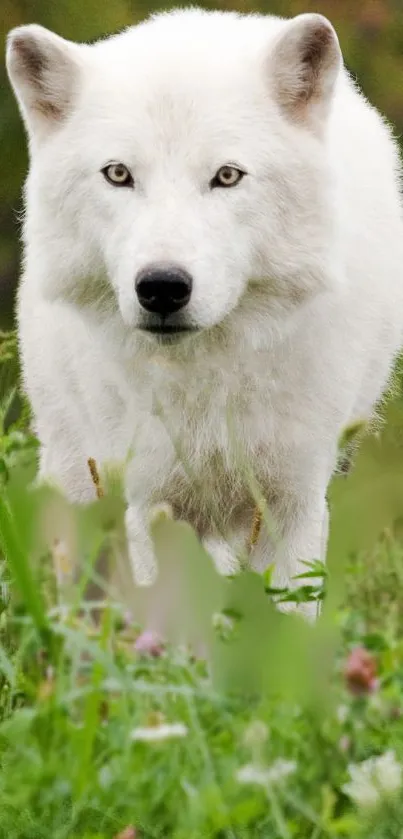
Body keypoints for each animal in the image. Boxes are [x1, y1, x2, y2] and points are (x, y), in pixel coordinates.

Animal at [5, 8, 403, 616]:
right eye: (118, 174)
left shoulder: (294, 501)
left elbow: (286, 620)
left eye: (227, 176)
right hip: (78, 480)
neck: (203, 387)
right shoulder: (145, 501)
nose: (163, 287)